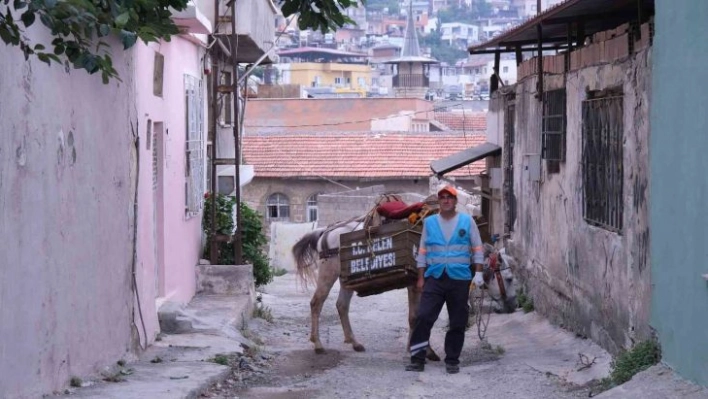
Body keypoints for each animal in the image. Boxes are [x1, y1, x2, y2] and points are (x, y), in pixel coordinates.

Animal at [290, 214, 516, 358]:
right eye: (510, 278)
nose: (513, 306)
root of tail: (326, 231)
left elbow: (417, 317)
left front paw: (418, 348)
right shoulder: (417, 286)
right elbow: (417, 317)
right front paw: (421, 350)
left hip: (348, 279)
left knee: (341, 305)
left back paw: (354, 342)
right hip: (328, 273)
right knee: (316, 303)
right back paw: (318, 344)